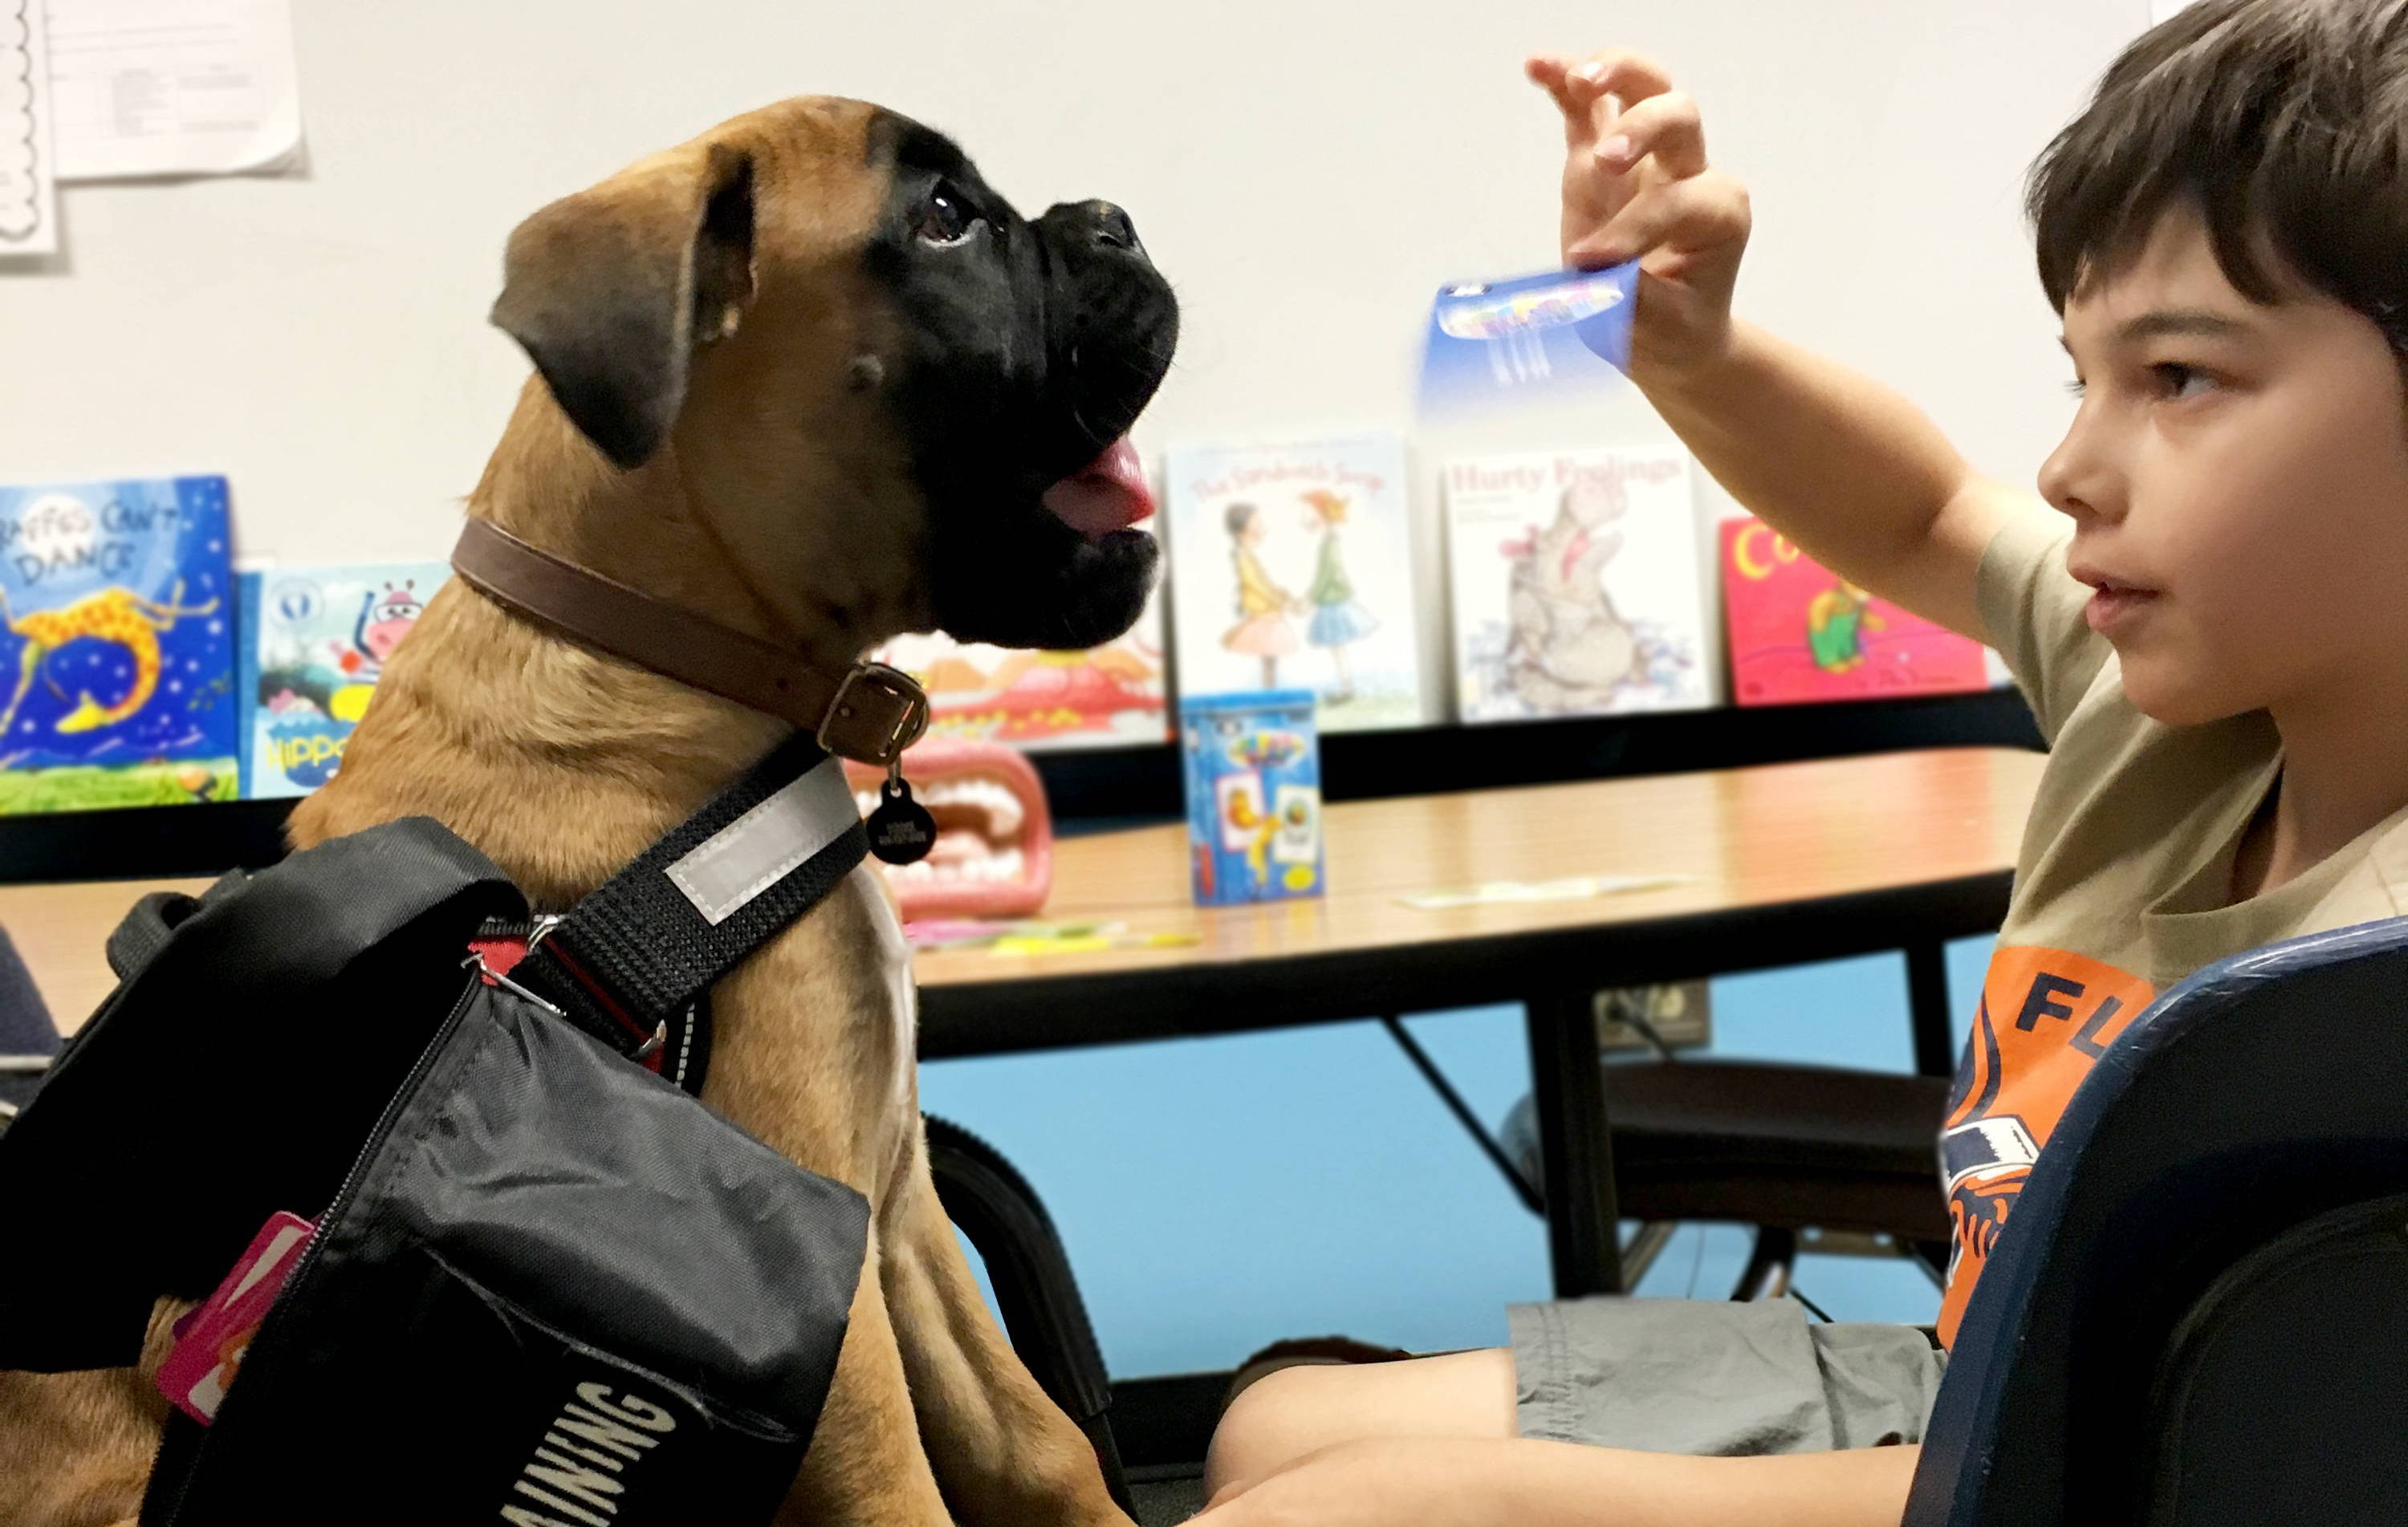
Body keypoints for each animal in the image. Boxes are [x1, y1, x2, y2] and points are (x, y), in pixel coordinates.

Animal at [0, 95, 1175, 1521]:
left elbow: (1037, 1444)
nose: (1114, 217)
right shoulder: (830, 1299)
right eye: (944, 219)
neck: (659, 655)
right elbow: (911, 1494)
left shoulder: (901, 1217)